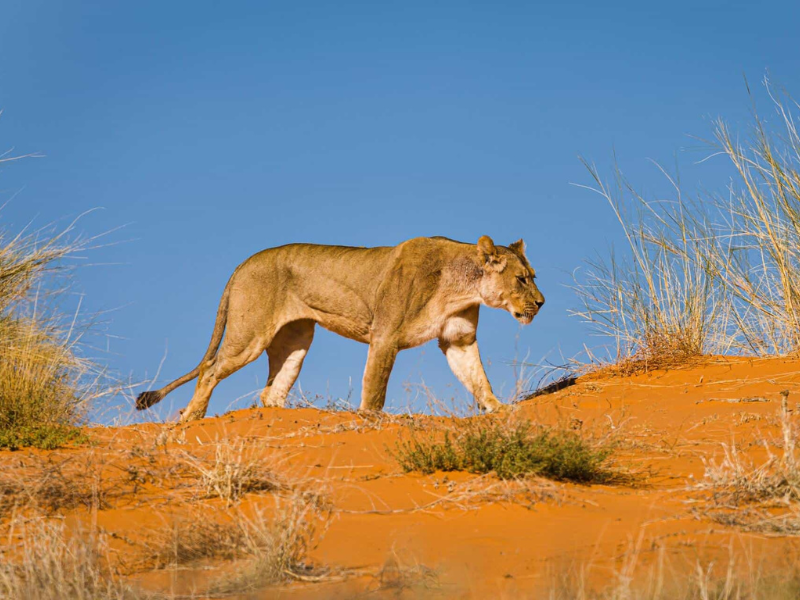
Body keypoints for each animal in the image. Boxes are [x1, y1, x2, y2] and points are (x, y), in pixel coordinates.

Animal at [136, 235, 545, 421]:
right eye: (522, 279)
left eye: (533, 277)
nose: (541, 303)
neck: (461, 287)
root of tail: (244, 263)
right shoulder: (385, 336)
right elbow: (374, 389)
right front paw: (370, 421)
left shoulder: (458, 340)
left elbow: (479, 379)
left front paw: (500, 411)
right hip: (249, 335)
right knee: (210, 369)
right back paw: (190, 418)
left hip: (297, 339)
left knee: (271, 392)